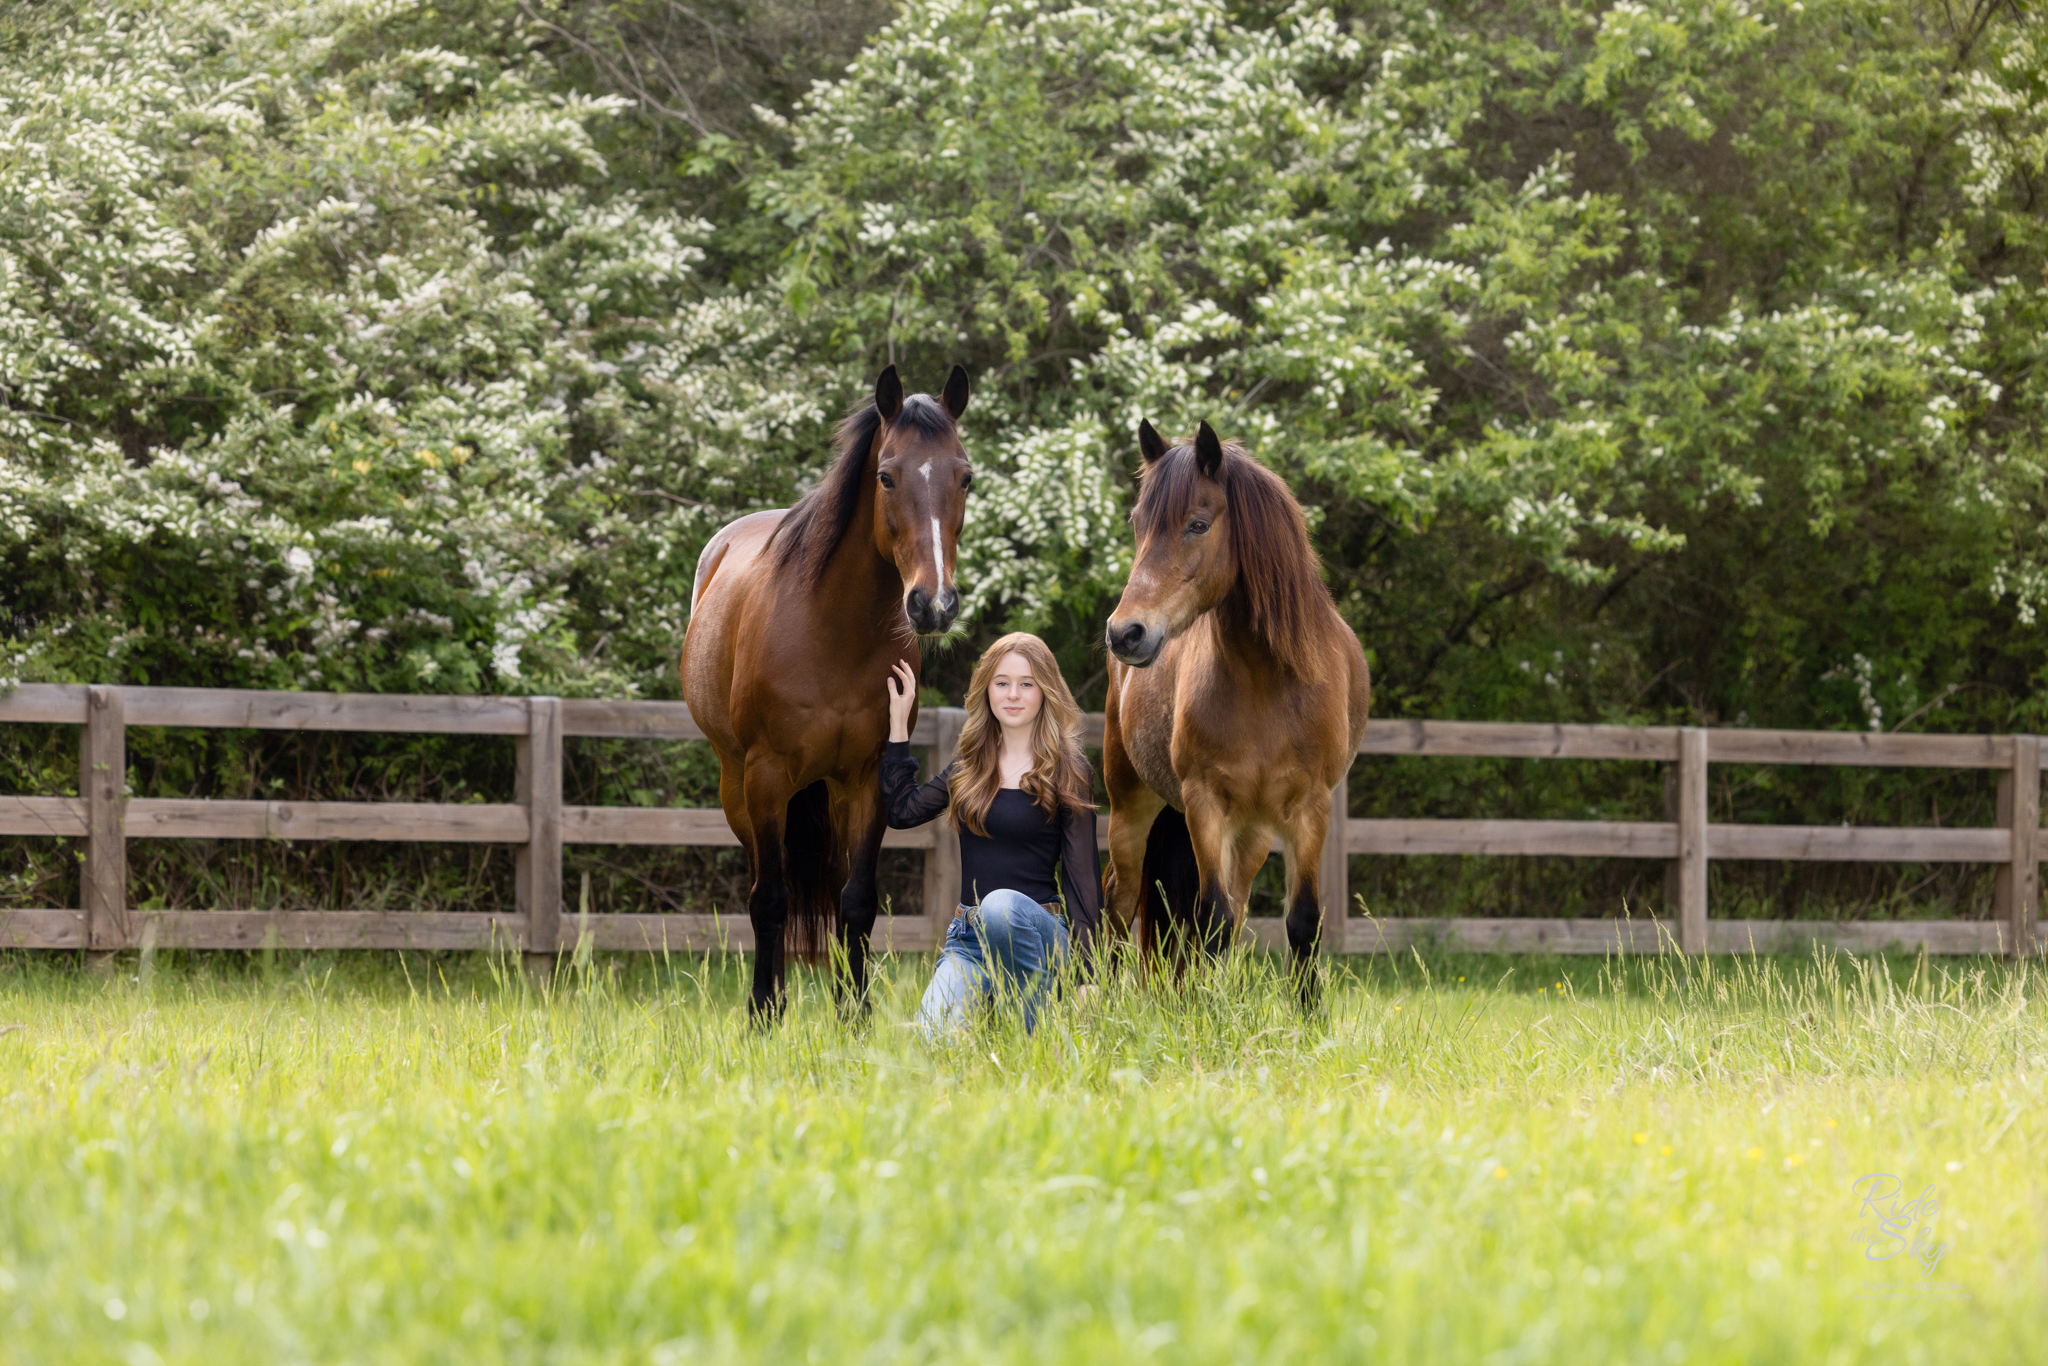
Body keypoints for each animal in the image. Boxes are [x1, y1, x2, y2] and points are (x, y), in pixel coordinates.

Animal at [679, 362, 974, 1015]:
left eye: (965, 477)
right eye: (886, 476)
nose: (934, 605)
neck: (834, 631)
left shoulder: (867, 780)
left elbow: (856, 901)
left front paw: (853, 1013)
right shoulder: (766, 778)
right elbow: (770, 900)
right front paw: (763, 1013)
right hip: (738, 787)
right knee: (768, 887)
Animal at [1097, 421, 1368, 1011]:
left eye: (1198, 524)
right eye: (1137, 523)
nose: (1125, 633)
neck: (1267, 684)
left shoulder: (1309, 810)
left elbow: (1301, 921)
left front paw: (1307, 1015)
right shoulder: (1204, 803)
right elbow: (1211, 920)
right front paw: (1203, 1014)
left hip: (1252, 835)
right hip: (1132, 808)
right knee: (1121, 902)